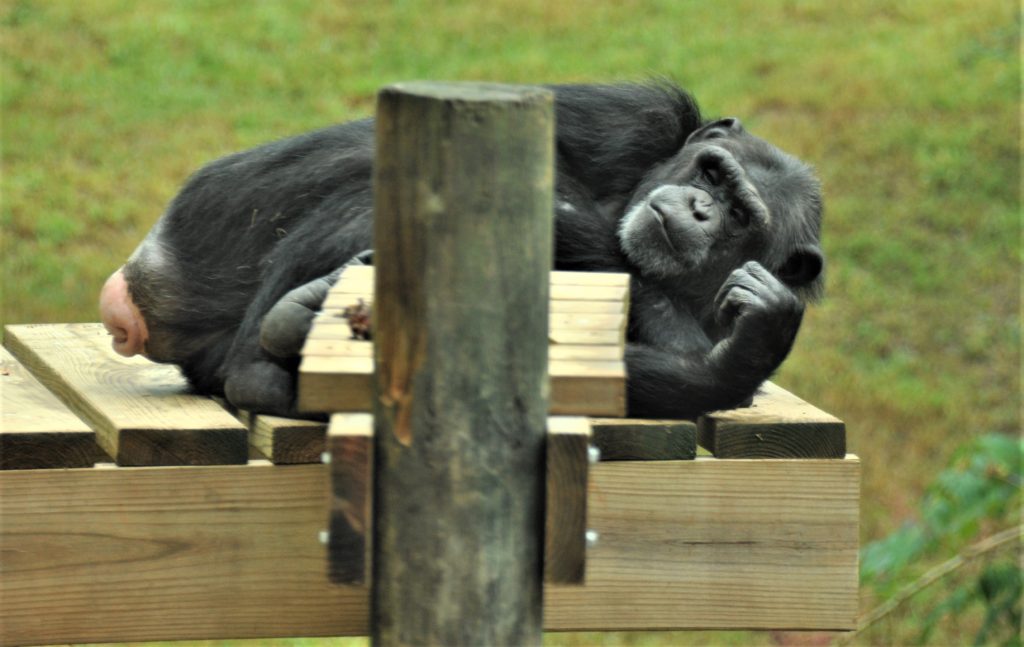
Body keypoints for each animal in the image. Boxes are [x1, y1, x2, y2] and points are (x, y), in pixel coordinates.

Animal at [97, 83, 823, 419]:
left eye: (739, 214)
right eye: (712, 174)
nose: (700, 206)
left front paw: (742, 350)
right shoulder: (635, 113)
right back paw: (274, 348)